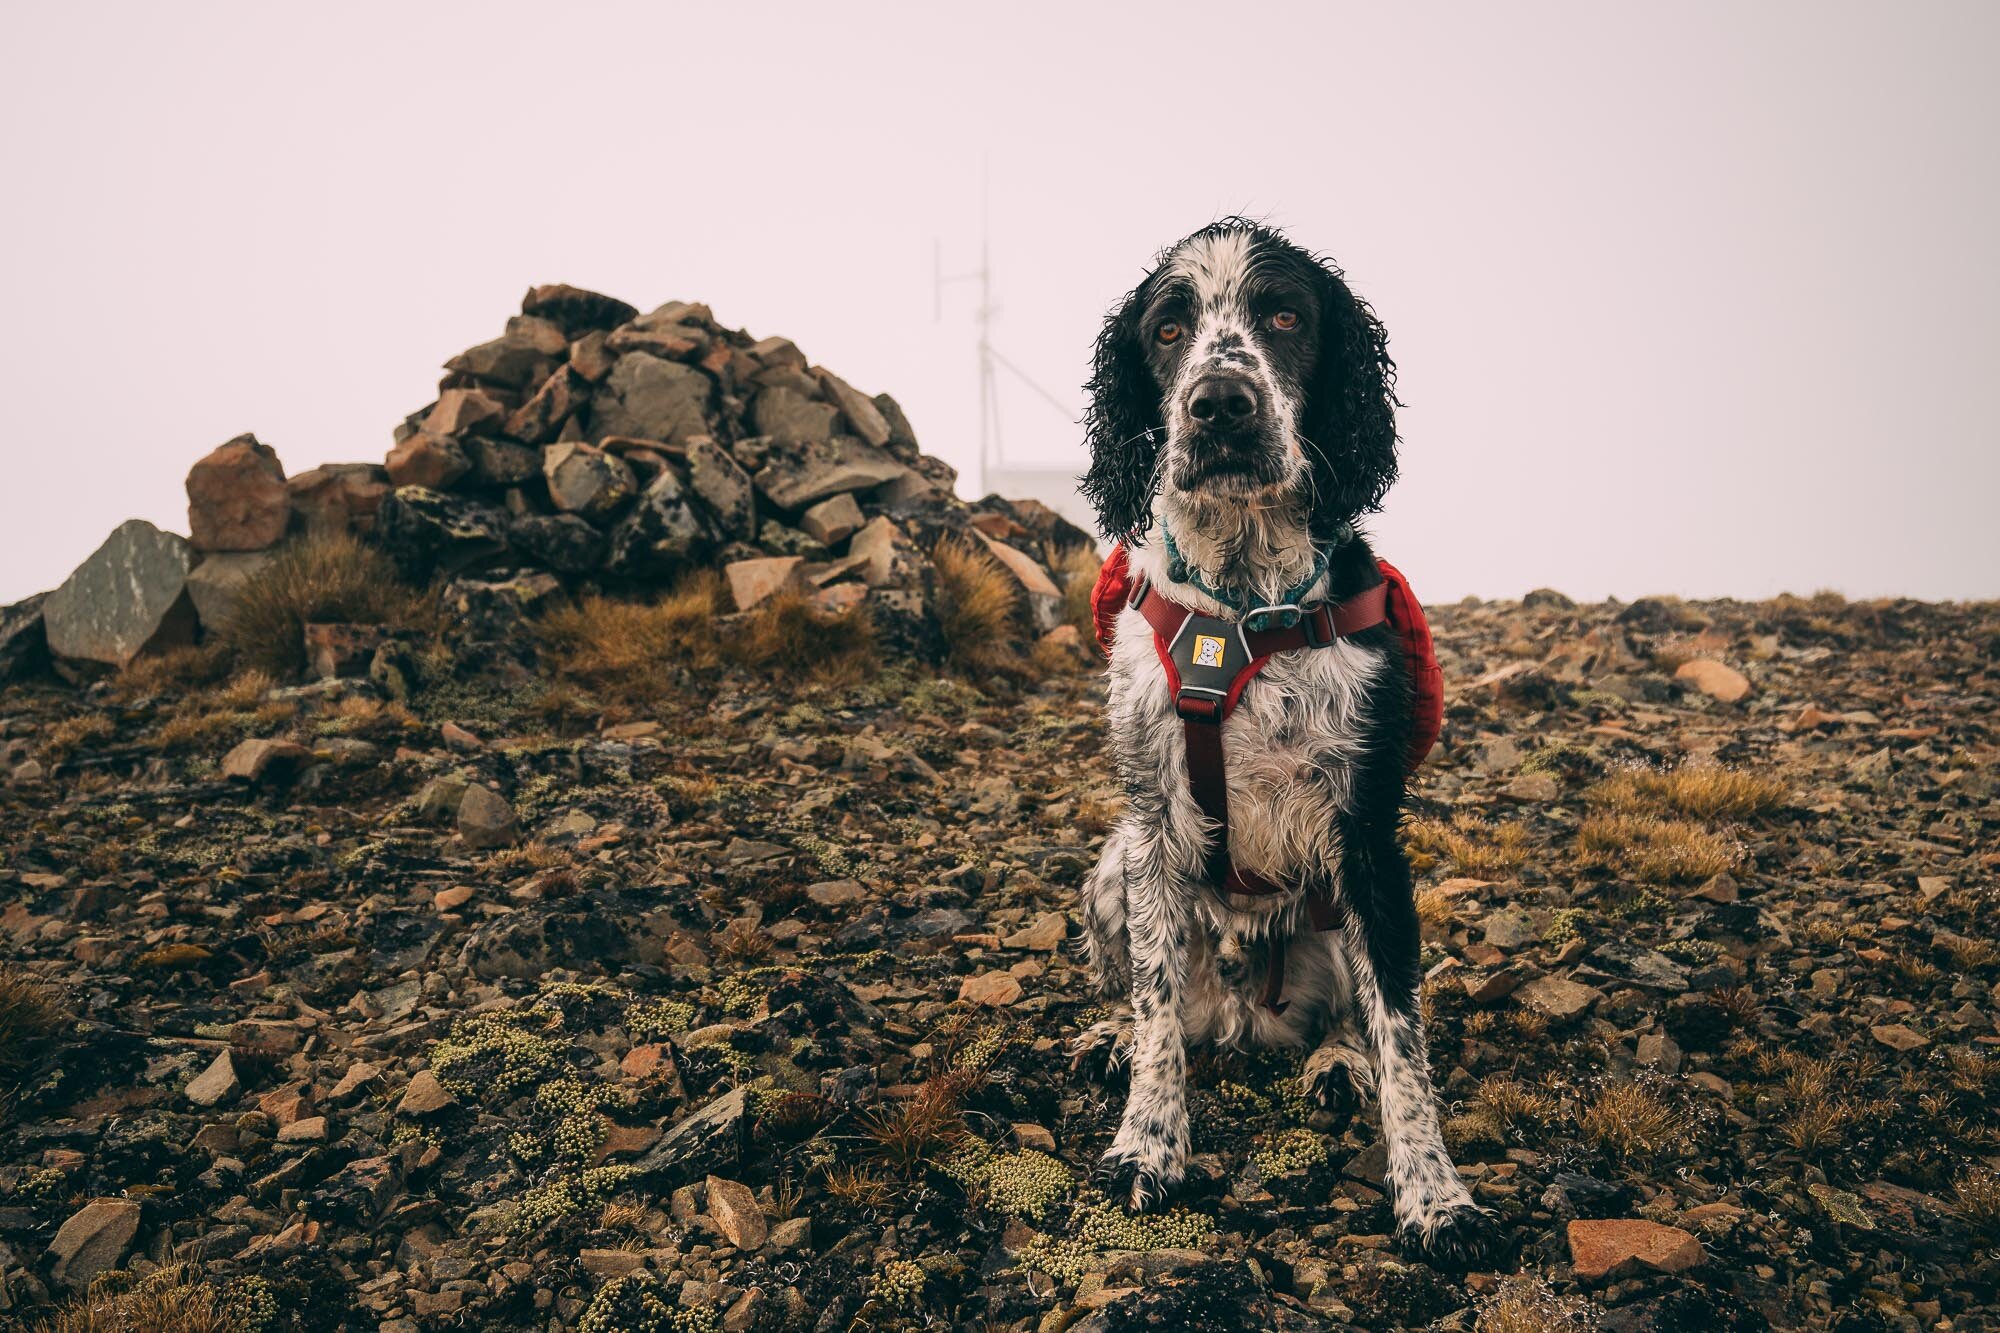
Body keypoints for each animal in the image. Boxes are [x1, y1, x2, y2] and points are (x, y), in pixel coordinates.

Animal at [1072, 220, 1496, 1264]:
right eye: (1169, 326)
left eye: (1285, 316)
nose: (1221, 403)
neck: (1244, 605)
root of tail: (1239, 1015)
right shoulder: (1153, 825)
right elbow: (1152, 1003)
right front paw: (1147, 1145)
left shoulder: (1370, 837)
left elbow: (1402, 1035)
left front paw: (1437, 1198)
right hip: (1108, 871)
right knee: (1160, 1006)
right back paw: (1112, 1039)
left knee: (1350, 1018)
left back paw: (1337, 1065)